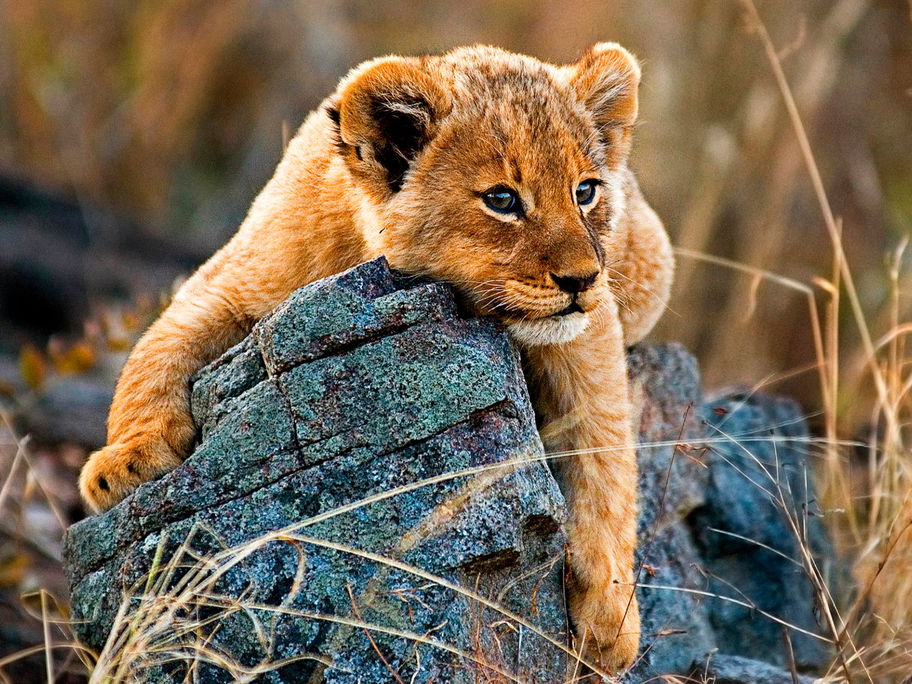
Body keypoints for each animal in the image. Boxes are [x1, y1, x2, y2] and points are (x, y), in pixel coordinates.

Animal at [78, 43, 674, 672]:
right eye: (502, 200)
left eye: (585, 191)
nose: (582, 279)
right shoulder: (230, 281)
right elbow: (155, 351)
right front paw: (124, 463)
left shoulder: (589, 332)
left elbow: (605, 454)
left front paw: (610, 619)